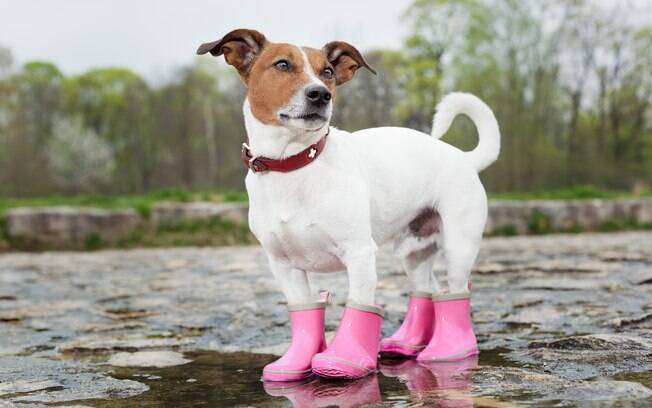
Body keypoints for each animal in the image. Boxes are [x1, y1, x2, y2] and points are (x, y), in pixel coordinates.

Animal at [199, 29, 500, 382]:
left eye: (328, 71)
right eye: (282, 64)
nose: (320, 94)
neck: (295, 164)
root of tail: (464, 158)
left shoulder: (359, 254)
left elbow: (359, 306)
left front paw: (344, 360)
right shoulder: (284, 266)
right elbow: (304, 311)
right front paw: (295, 364)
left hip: (458, 246)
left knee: (455, 292)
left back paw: (452, 350)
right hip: (413, 250)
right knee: (426, 291)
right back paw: (408, 343)